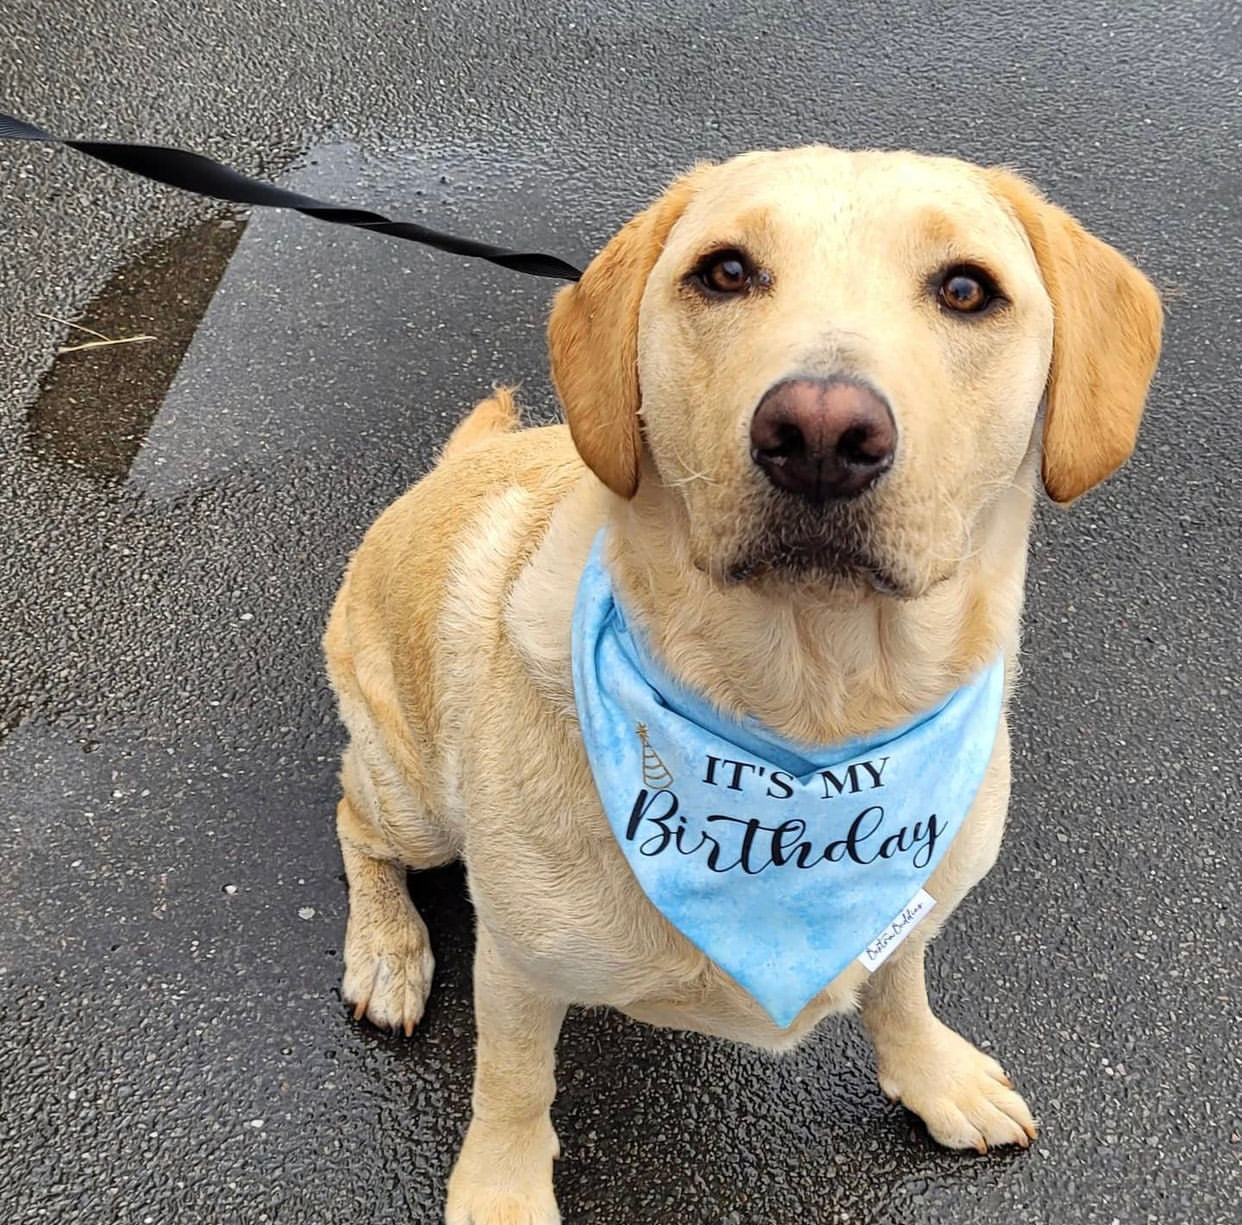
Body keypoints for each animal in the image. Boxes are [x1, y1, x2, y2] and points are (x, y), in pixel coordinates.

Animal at [322, 147, 1162, 1217]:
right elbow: (513, 1080)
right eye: (724, 272)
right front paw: (503, 1188)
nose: (821, 433)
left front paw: (932, 1074)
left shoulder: (907, 900)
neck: (808, 721)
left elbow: (901, 981)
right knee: (354, 821)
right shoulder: (518, 959)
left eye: (968, 290)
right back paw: (388, 950)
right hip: (416, 796)